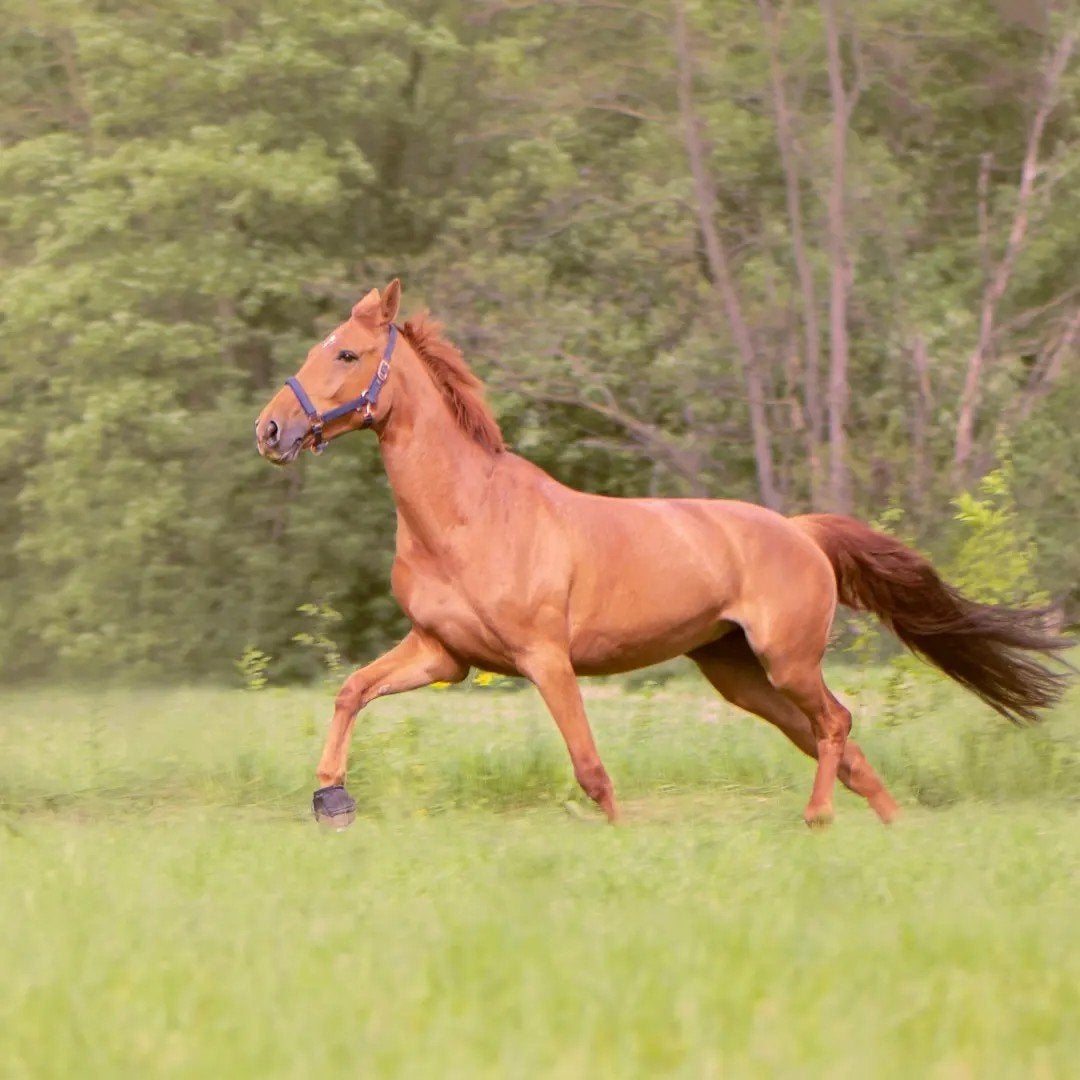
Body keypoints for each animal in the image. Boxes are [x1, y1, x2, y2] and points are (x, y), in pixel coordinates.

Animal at [255, 280, 1071, 828]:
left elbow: (590, 769)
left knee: (836, 725)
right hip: (739, 674)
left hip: (786, 660)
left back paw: (818, 821)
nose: (270, 429)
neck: (468, 518)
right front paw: (331, 799)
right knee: (833, 740)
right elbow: (351, 691)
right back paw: (887, 826)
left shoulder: (544, 659)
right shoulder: (441, 653)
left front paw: (621, 841)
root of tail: (803, 531)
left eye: (347, 352)